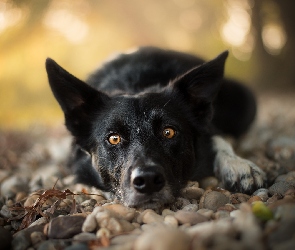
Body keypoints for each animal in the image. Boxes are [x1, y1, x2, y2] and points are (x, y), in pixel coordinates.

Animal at [45, 47, 268, 209]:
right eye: (114, 138)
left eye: (168, 132)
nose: (148, 180)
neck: (135, 85)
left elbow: (217, 137)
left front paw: (239, 165)